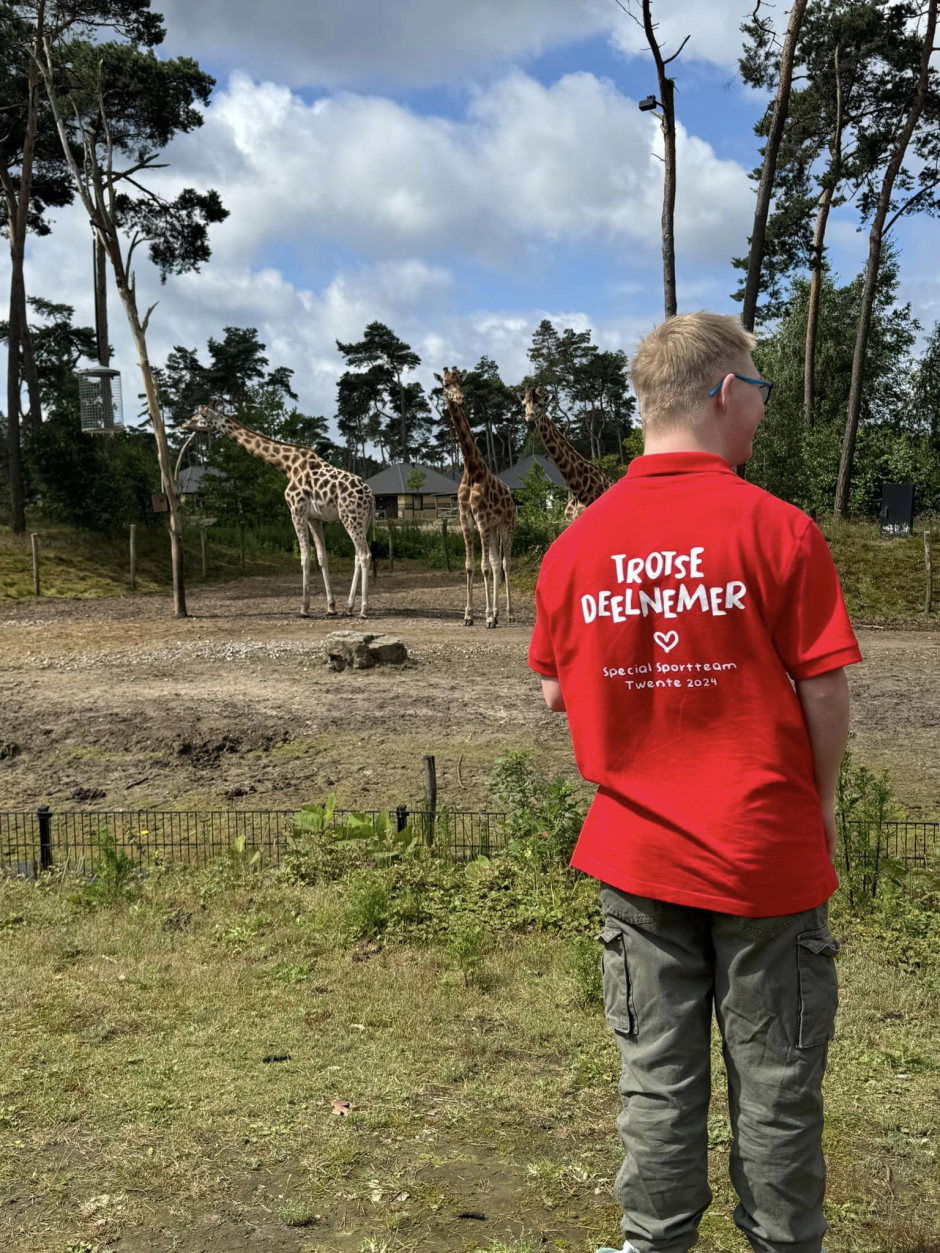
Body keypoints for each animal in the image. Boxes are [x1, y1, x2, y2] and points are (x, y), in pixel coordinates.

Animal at [182, 403, 374, 619]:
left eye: (203, 415)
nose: (185, 424)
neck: (287, 466)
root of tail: (370, 496)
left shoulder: (296, 511)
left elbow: (305, 558)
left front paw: (304, 609)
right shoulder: (314, 517)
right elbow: (322, 558)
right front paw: (330, 607)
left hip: (351, 517)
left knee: (365, 554)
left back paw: (363, 610)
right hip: (362, 520)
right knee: (358, 555)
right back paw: (348, 608)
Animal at [434, 367, 516, 629]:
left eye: (461, 382)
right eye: (445, 384)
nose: (460, 398)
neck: (472, 470)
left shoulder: (481, 520)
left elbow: (484, 568)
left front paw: (487, 617)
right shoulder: (466, 520)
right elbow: (471, 567)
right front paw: (469, 615)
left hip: (507, 524)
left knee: (505, 564)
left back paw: (507, 614)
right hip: (493, 527)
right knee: (496, 563)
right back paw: (498, 613)